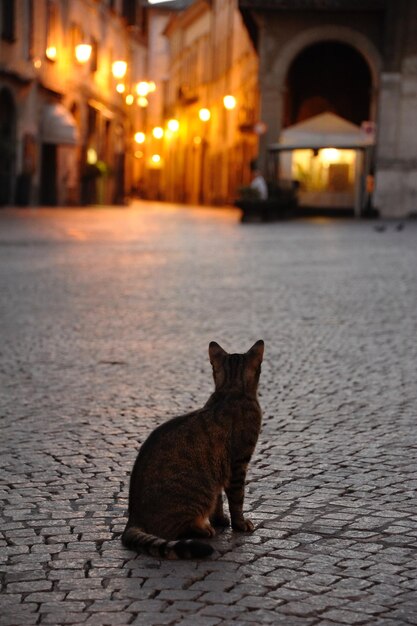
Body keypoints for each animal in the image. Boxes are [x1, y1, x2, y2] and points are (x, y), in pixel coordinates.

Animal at [120, 338, 264, 560]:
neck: (230, 390)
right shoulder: (238, 463)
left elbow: (218, 500)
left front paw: (221, 519)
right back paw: (203, 529)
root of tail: (132, 519)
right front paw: (240, 524)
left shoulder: (219, 472)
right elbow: (237, 499)